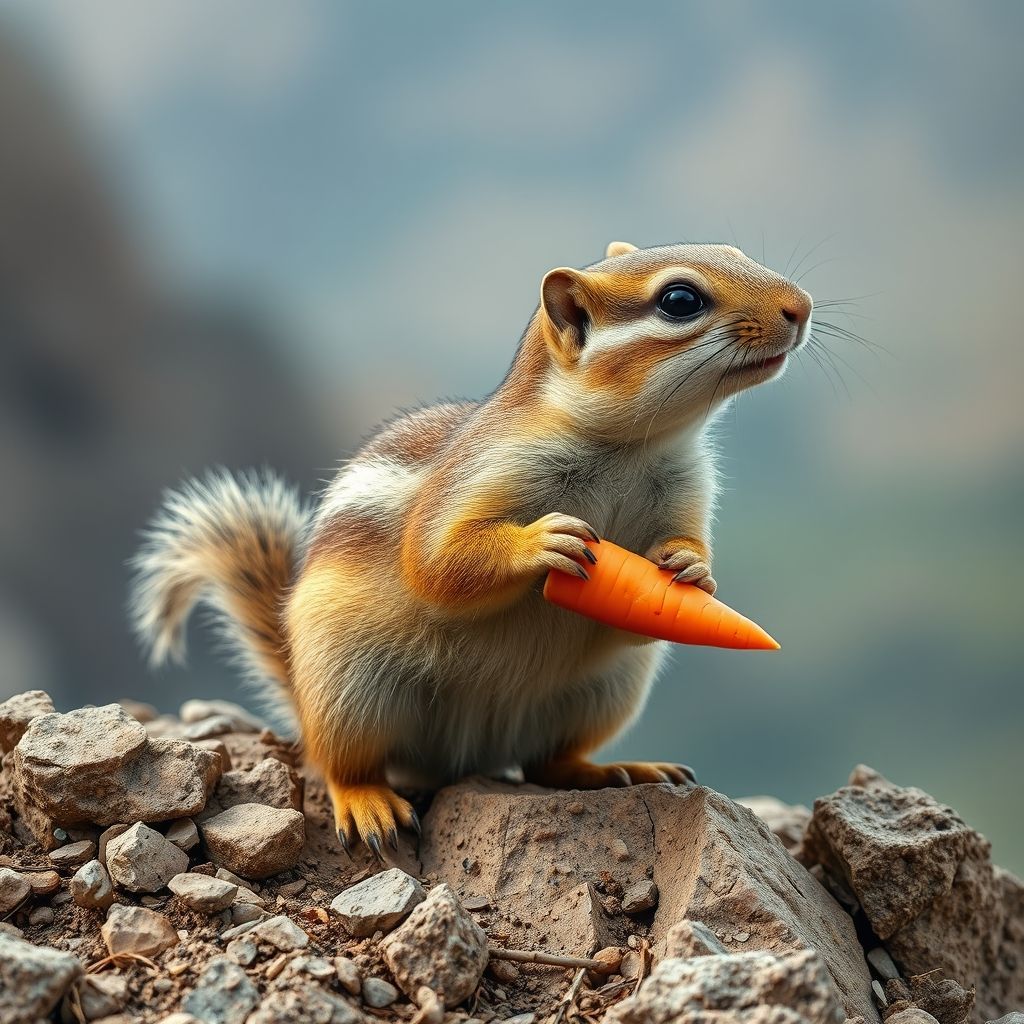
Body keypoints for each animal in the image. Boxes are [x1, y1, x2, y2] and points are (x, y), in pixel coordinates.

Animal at [130, 240, 812, 855]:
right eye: (680, 300)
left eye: (737, 251)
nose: (801, 306)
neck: (632, 446)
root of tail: (472, 752)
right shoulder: (481, 475)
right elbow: (436, 561)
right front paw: (542, 543)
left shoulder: (687, 488)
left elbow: (657, 595)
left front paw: (693, 568)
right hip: (350, 688)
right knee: (342, 765)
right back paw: (367, 803)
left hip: (603, 693)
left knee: (546, 764)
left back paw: (616, 770)